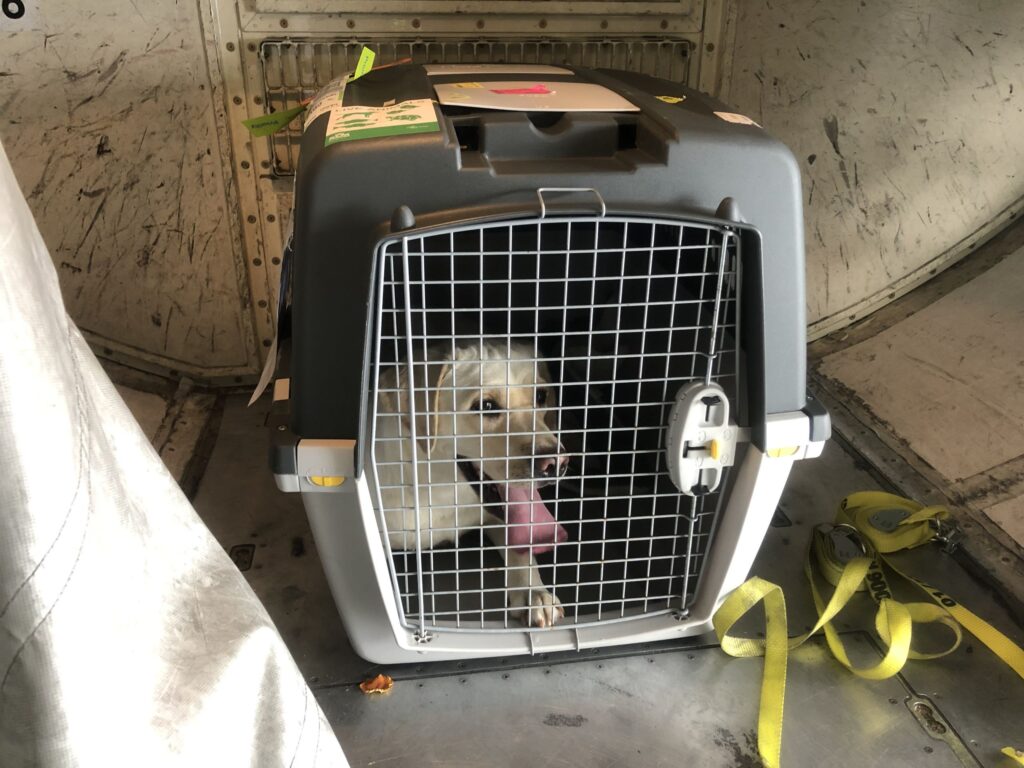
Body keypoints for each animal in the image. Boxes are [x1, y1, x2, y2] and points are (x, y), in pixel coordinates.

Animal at [374, 339, 569, 626]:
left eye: (541, 396)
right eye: (485, 406)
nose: (556, 463)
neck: (436, 488)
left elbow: (522, 551)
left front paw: (534, 594)